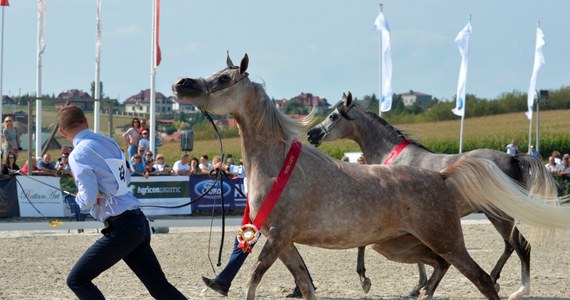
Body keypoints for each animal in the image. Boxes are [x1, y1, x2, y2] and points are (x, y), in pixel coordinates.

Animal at [308, 92, 556, 300]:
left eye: (332, 115)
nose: (312, 133)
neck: (393, 157)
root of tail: (514, 158)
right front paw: (419, 285)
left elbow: (363, 245)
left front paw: (366, 279)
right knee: (509, 246)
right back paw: (495, 279)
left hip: (499, 214)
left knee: (520, 245)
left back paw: (520, 290)